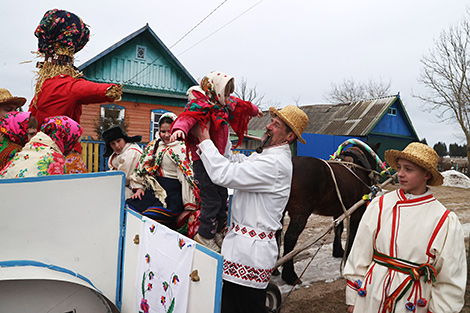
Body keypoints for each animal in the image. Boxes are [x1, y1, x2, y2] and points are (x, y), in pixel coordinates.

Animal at [280, 143, 380, 284]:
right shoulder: (358, 210)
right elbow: (353, 231)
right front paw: (349, 254)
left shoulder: (339, 209)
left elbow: (338, 229)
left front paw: (338, 251)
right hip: (301, 213)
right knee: (290, 238)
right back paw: (289, 275)